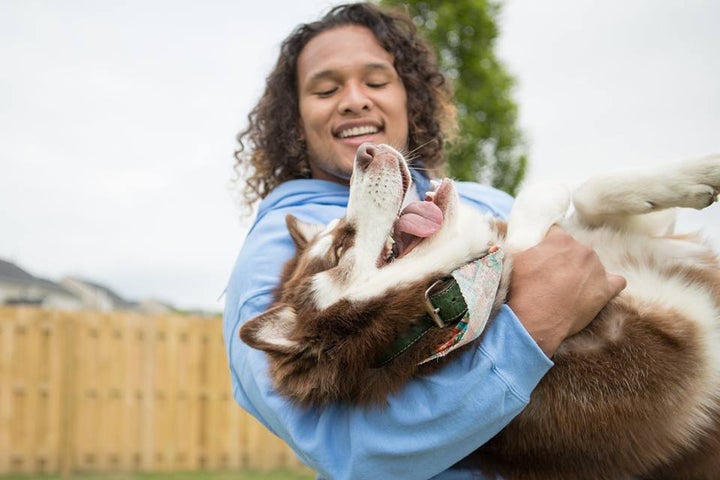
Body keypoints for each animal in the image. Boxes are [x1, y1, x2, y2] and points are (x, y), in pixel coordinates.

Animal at [240, 143, 720, 480]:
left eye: (339, 232)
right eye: (342, 246)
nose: (366, 151)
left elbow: (589, 193)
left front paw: (699, 174)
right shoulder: (684, 358)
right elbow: (525, 240)